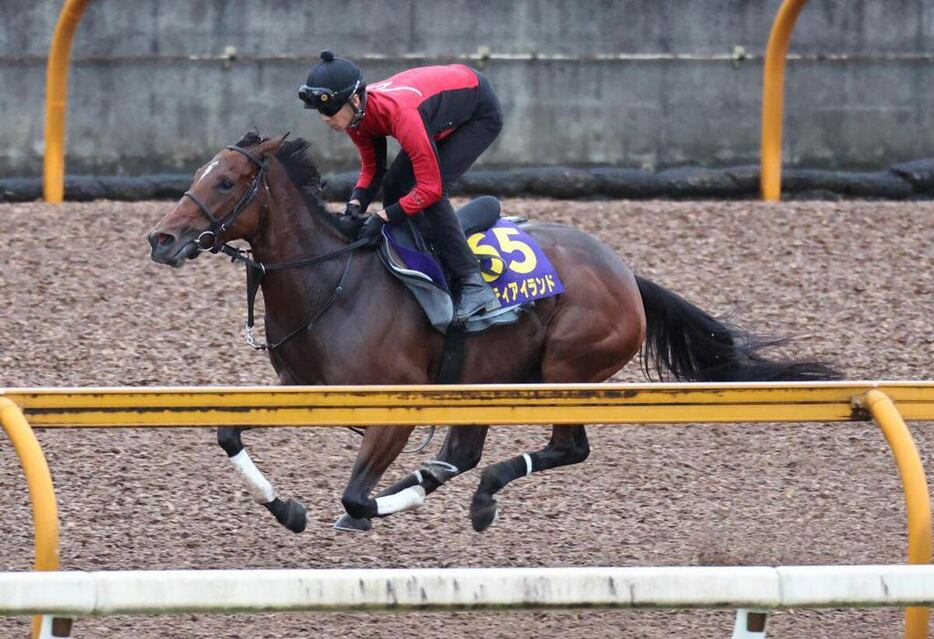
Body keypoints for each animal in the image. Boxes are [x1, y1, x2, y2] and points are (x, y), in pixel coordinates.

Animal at [148, 131, 840, 536]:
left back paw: (476, 498)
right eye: (198, 174)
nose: (162, 239)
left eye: (226, 181)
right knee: (464, 452)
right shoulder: (307, 390)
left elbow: (353, 497)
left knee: (563, 449)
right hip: (486, 376)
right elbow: (228, 431)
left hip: (567, 371)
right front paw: (288, 509)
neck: (332, 282)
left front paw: (358, 510)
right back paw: (434, 482)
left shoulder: (394, 409)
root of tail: (624, 273)